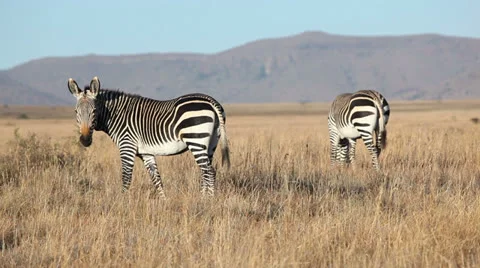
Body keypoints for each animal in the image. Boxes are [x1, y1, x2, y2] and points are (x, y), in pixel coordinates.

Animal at [67, 76, 231, 198]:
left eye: (94, 111)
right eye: (76, 112)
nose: (85, 140)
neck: (116, 116)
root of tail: (211, 101)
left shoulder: (127, 146)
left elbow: (126, 177)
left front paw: (122, 204)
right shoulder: (146, 153)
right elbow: (156, 179)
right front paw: (164, 203)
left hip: (196, 139)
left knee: (209, 172)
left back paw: (208, 202)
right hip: (211, 144)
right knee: (206, 171)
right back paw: (202, 198)